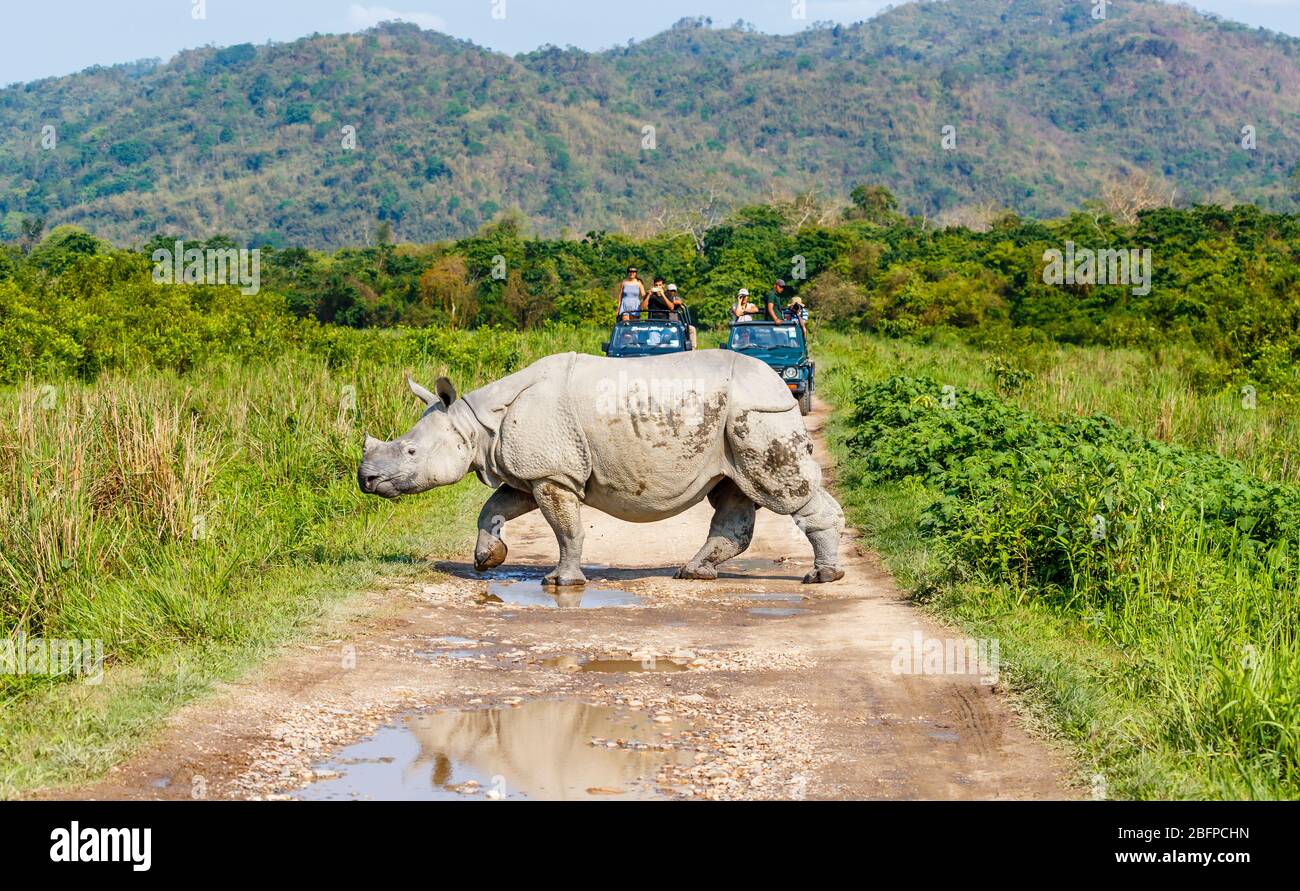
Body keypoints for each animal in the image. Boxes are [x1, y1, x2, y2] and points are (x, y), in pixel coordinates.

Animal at [358, 350, 846, 585]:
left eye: (410, 453)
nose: (365, 479)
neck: (476, 424)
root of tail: (779, 381)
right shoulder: (532, 470)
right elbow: (492, 508)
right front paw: (486, 560)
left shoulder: (552, 474)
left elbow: (567, 529)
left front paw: (560, 583)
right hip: (732, 420)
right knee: (733, 493)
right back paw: (692, 573)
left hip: (756, 412)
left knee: (782, 490)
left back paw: (822, 577)